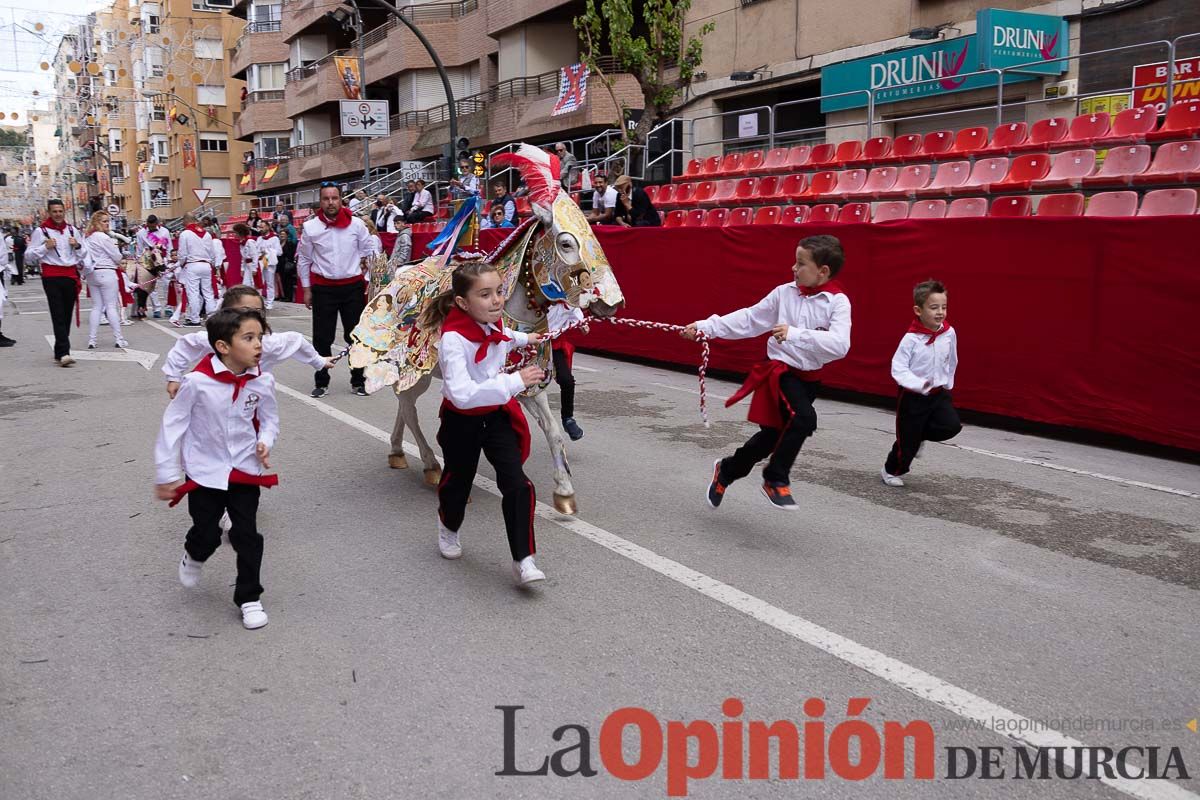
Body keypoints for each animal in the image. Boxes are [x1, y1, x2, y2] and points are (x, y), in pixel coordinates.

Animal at [348, 143, 624, 513]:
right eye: (566, 243)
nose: (612, 302)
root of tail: (393, 276)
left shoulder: (530, 382)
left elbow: (553, 431)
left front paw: (564, 491)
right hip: (416, 370)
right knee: (408, 406)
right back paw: (431, 464)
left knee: (404, 405)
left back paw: (397, 451)